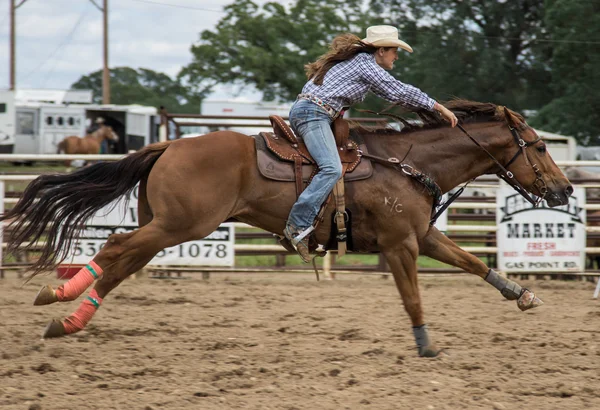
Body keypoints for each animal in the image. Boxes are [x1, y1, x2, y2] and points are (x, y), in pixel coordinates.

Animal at [1, 99, 572, 356]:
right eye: (541, 146)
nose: (565, 190)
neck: (408, 162)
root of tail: (168, 144)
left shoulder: (422, 235)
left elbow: (471, 260)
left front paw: (521, 293)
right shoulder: (399, 245)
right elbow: (413, 296)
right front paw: (426, 343)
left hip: (165, 226)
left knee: (121, 263)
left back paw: (67, 321)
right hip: (179, 225)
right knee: (116, 247)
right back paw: (55, 294)